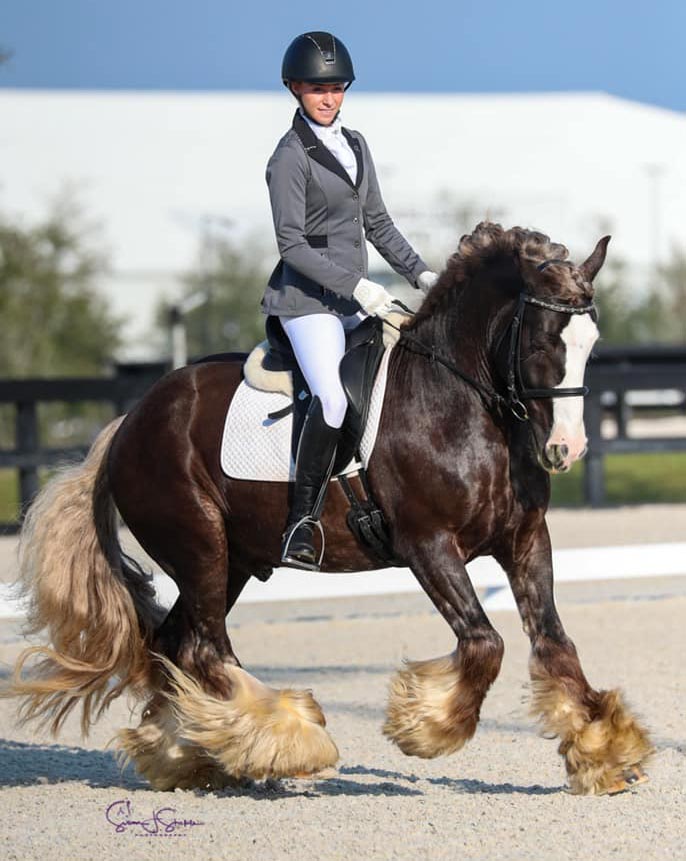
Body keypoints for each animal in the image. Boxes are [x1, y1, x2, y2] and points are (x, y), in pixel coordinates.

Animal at [5, 222, 652, 792]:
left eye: (591, 344)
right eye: (542, 342)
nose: (566, 449)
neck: (459, 402)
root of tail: (129, 422)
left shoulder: (524, 540)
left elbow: (555, 642)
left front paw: (606, 752)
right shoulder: (428, 544)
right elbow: (484, 643)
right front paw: (425, 728)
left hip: (231, 560)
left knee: (173, 647)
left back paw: (189, 754)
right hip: (200, 547)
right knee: (205, 647)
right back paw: (287, 741)